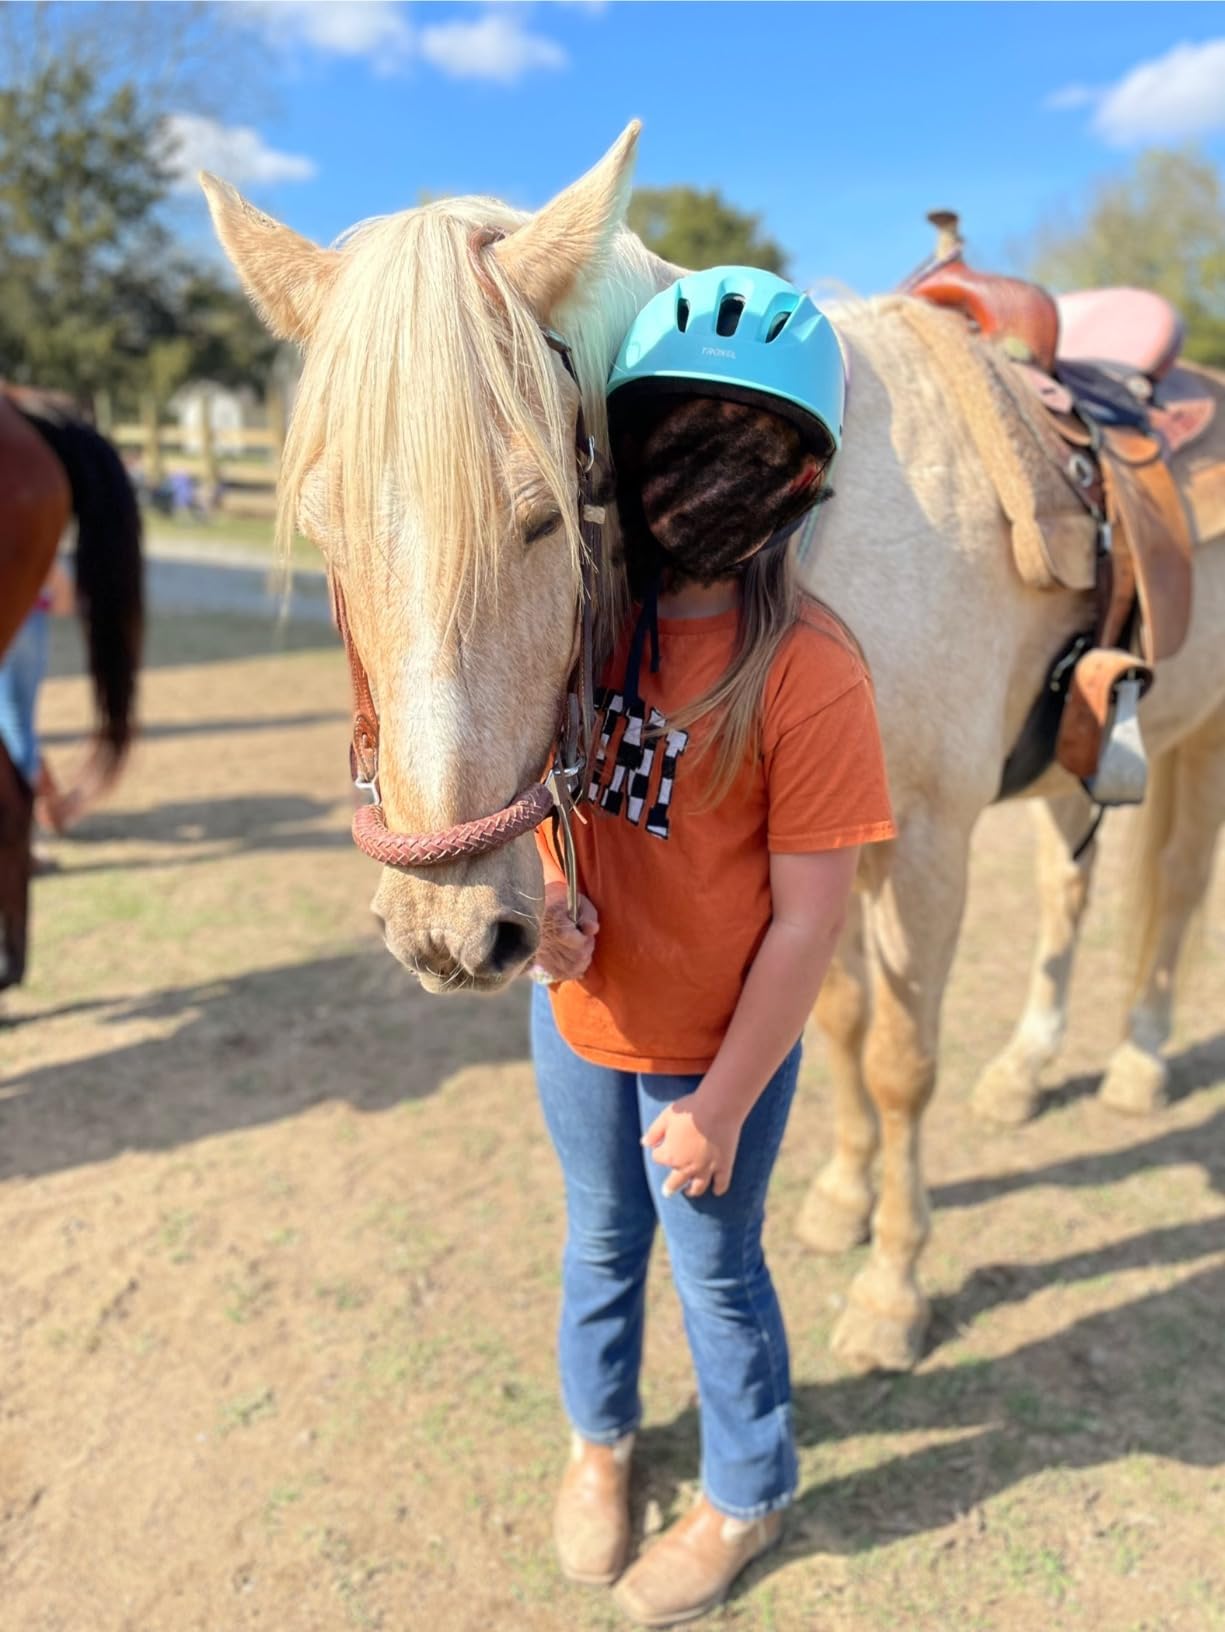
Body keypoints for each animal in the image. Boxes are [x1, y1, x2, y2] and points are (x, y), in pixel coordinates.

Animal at [202, 123, 1225, 1372]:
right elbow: (834, 1020)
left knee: (1176, 883)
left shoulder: (925, 844)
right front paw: (841, 1202)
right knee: (1068, 892)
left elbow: (899, 1060)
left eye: (538, 517)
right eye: (321, 527)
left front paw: (892, 1289)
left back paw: (1136, 1061)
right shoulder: (833, 844)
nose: (446, 930)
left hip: (1202, 737)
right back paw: (1027, 1069)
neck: (818, 542)